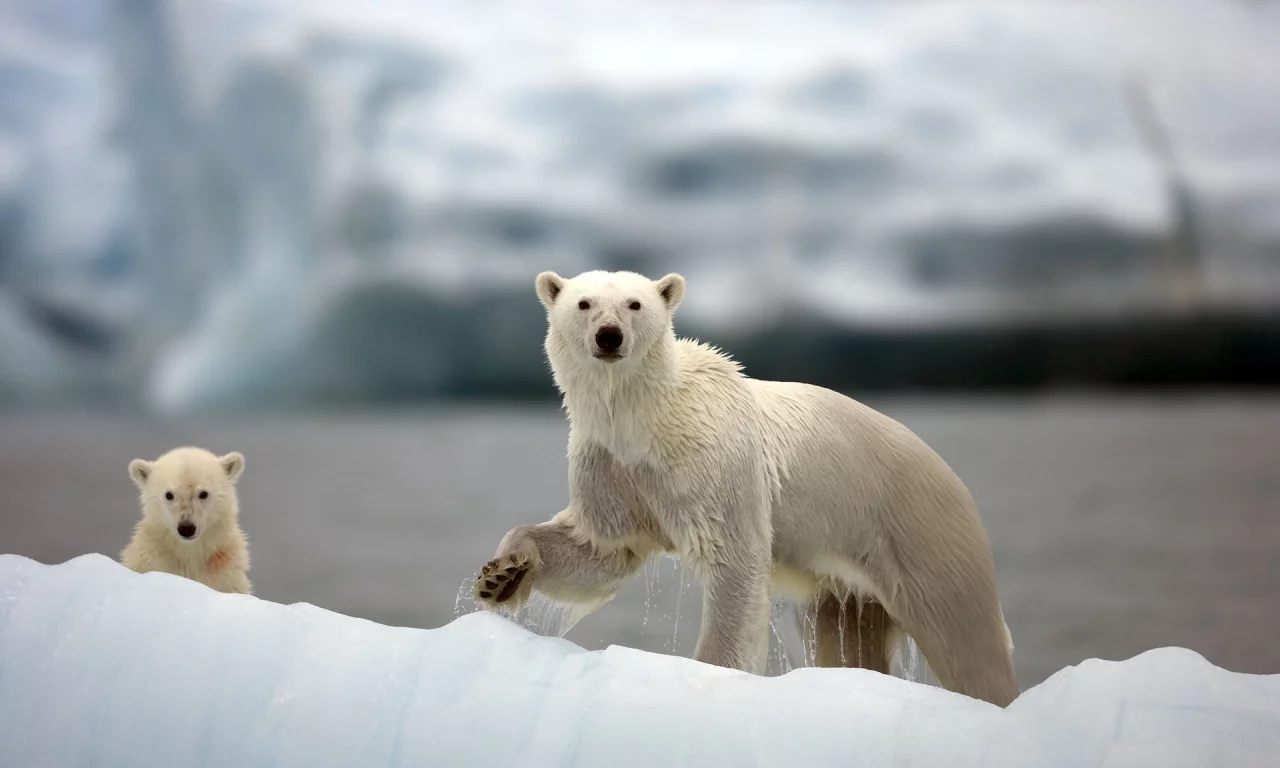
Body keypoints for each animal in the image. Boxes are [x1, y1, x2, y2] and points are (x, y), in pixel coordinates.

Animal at [473, 270, 1018, 706]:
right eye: (583, 304)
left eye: (635, 304)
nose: (609, 336)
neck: (645, 418)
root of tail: (947, 472)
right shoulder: (609, 465)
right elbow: (603, 549)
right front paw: (502, 575)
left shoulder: (712, 463)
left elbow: (732, 562)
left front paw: (709, 671)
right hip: (848, 583)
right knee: (849, 638)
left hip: (920, 532)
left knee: (966, 640)